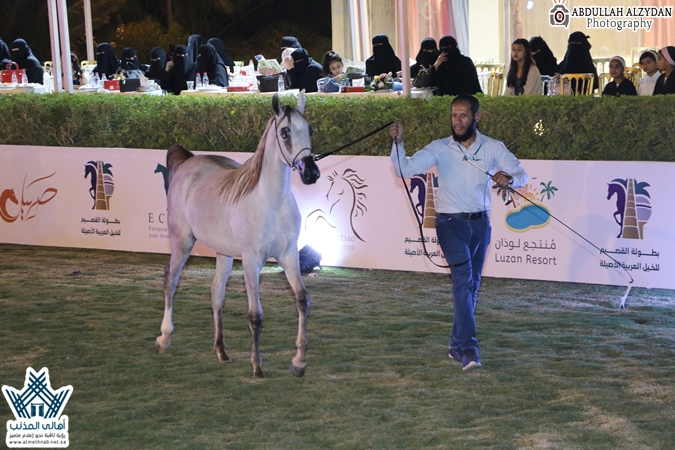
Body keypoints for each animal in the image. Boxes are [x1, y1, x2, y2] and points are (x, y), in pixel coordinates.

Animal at [156, 91, 320, 378]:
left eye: (309, 129)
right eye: (285, 132)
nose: (311, 173)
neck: (270, 202)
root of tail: (188, 161)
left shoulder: (289, 256)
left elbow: (302, 299)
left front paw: (298, 362)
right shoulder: (252, 261)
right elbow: (255, 314)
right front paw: (257, 365)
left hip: (224, 254)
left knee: (216, 293)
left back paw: (221, 351)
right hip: (182, 243)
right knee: (171, 280)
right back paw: (164, 338)